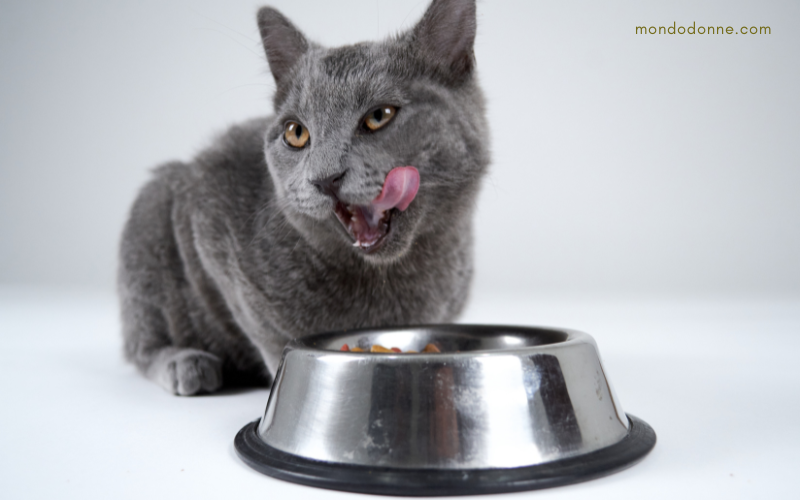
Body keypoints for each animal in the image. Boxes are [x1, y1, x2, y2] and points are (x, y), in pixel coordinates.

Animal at [119, 0, 490, 396]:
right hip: (153, 208)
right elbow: (265, 332)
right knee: (141, 344)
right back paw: (186, 363)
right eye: (296, 133)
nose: (325, 178)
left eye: (379, 116)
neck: (387, 276)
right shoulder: (207, 206)